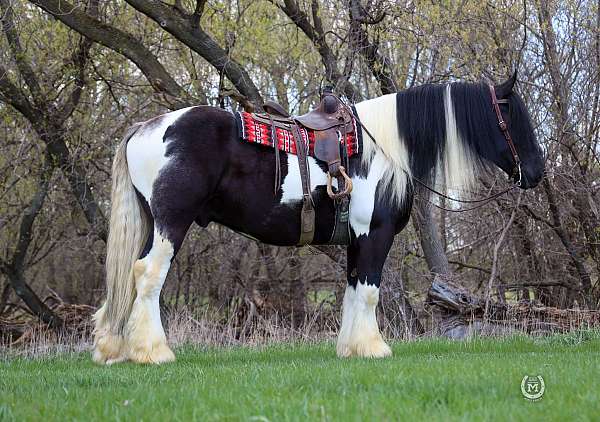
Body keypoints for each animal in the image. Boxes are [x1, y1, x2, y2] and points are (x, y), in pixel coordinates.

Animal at [92, 72, 544, 362]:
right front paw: (374, 348)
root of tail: (146, 127)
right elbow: (370, 291)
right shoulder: (374, 234)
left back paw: (113, 349)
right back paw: (153, 352)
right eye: (513, 117)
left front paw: (351, 348)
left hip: (152, 224)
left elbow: (353, 289)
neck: (385, 148)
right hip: (171, 222)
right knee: (148, 276)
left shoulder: (356, 239)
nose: (537, 172)